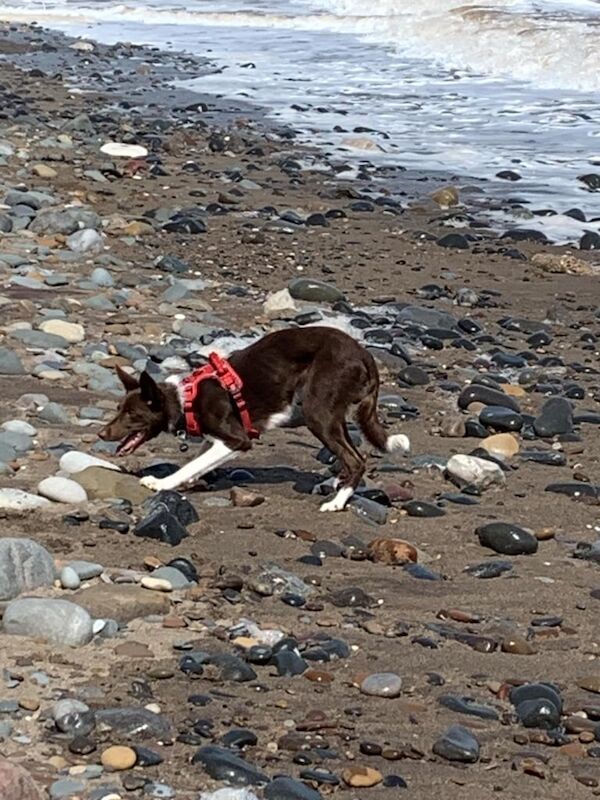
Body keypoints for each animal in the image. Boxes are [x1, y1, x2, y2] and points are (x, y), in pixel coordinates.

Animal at [99, 324, 408, 512]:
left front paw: (163, 483)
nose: (101, 435)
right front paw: (189, 480)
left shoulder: (237, 440)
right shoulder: (215, 438)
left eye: (132, 414)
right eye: (118, 409)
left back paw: (337, 502)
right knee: (352, 453)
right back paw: (336, 483)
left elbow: (192, 464)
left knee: (356, 459)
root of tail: (364, 354)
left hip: (317, 412)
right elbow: (197, 460)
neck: (185, 398)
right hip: (333, 415)